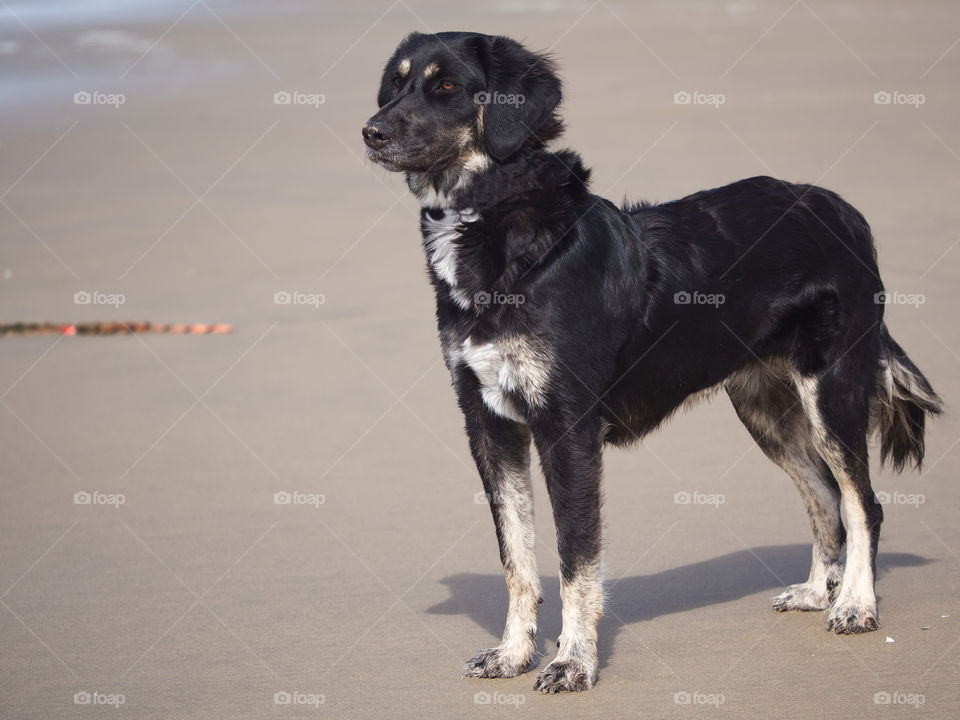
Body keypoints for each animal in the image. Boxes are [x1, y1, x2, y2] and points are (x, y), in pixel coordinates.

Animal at [364, 29, 940, 692]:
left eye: (447, 86)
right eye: (396, 83)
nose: (370, 132)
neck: (501, 230)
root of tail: (841, 209)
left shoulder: (568, 428)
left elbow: (575, 559)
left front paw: (573, 661)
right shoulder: (489, 422)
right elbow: (517, 557)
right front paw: (512, 653)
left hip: (832, 389)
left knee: (861, 500)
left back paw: (856, 604)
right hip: (763, 406)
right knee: (824, 496)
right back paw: (820, 591)